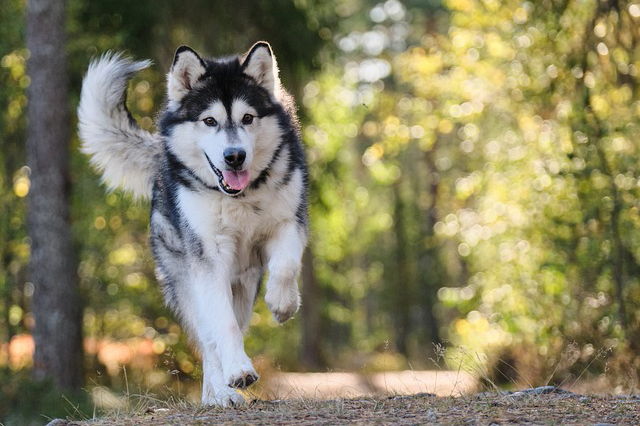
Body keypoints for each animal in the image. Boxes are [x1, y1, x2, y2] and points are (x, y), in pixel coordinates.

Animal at [79, 42, 308, 406]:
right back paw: (221, 393)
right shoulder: (209, 259)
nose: (234, 156)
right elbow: (223, 326)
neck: (239, 197)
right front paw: (237, 372)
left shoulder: (289, 221)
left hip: (243, 285)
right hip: (189, 282)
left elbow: (285, 266)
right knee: (210, 339)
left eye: (247, 118)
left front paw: (283, 304)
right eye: (209, 120)